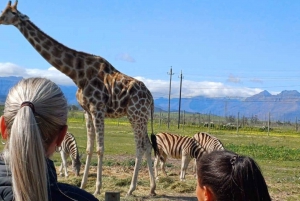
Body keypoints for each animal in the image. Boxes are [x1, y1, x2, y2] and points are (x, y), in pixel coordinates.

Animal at [0, 0, 159, 196]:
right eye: (4, 10)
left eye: (11, 12)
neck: (77, 73)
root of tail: (151, 98)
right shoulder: (87, 112)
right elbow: (90, 148)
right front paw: (83, 184)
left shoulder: (98, 108)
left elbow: (100, 148)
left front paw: (98, 187)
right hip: (139, 117)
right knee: (147, 145)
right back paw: (152, 188)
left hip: (135, 114)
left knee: (140, 146)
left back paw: (131, 188)